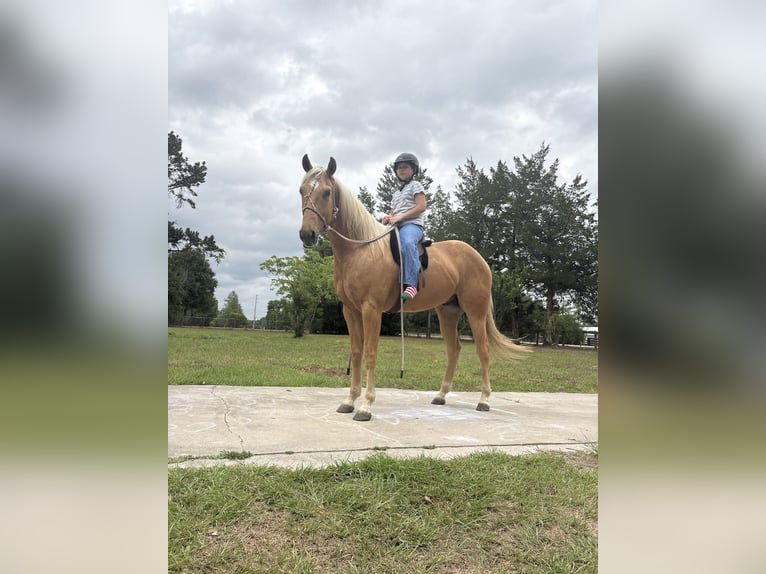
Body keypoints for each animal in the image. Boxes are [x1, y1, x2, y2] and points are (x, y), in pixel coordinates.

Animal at [298, 154, 528, 421]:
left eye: (326, 192)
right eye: (301, 190)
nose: (307, 234)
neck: (361, 249)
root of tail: (478, 257)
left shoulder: (371, 309)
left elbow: (370, 353)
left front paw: (366, 406)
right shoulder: (350, 310)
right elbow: (356, 352)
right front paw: (349, 401)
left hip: (475, 311)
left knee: (483, 350)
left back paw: (484, 400)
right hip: (447, 312)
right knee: (454, 350)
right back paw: (441, 395)